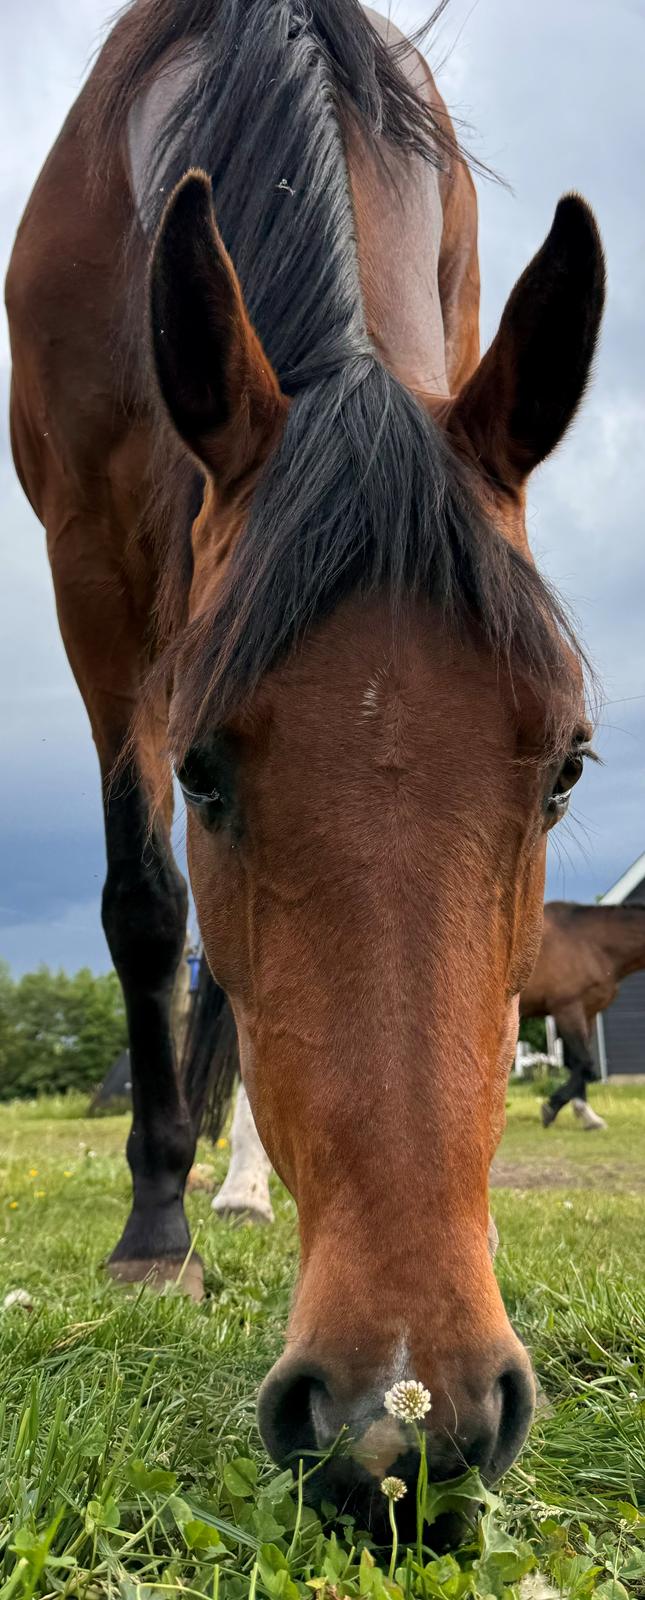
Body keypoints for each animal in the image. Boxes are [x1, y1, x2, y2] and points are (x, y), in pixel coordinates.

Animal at [6, 0, 604, 1523]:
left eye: (567, 770)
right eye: (206, 773)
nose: (402, 1422)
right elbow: (145, 908)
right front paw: (153, 1232)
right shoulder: (92, 584)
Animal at [521, 902, 645, 1126]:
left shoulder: (587, 1013)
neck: (590, 942)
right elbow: (584, 1063)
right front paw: (550, 1108)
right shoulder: (567, 1010)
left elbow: (577, 1063)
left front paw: (587, 1116)